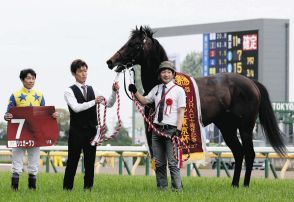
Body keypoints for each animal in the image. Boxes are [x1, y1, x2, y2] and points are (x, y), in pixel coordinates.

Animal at [107, 26, 286, 187]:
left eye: (134, 44)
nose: (110, 61)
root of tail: (252, 82)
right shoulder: (152, 129)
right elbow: (158, 158)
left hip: (245, 128)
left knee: (249, 154)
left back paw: (245, 185)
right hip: (227, 128)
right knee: (239, 152)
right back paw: (234, 184)